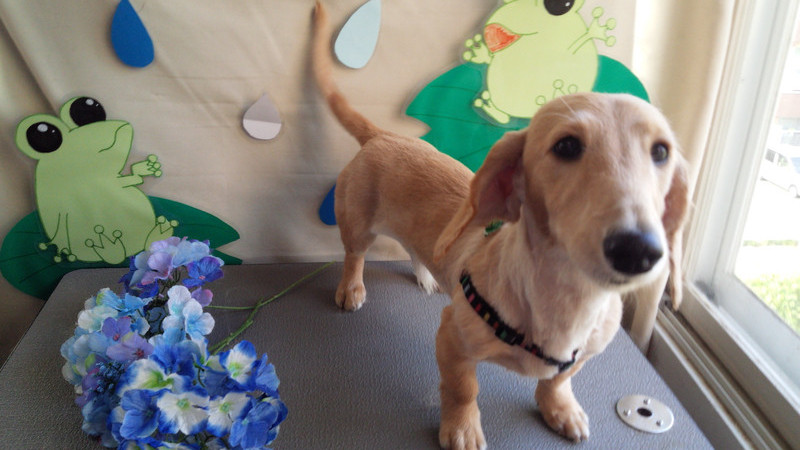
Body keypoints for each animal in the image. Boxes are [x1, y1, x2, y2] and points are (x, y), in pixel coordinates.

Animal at [312, 3, 689, 447]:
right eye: (566, 146)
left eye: (661, 152)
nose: (638, 250)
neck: (568, 303)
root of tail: (382, 135)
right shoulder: (452, 338)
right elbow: (463, 388)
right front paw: (462, 428)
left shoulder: (583, 355)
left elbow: (557, 381)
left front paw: (559, 408)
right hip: (357, 223)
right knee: (355, 255)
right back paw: (352, 288)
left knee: (419, 248)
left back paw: (427, 274)